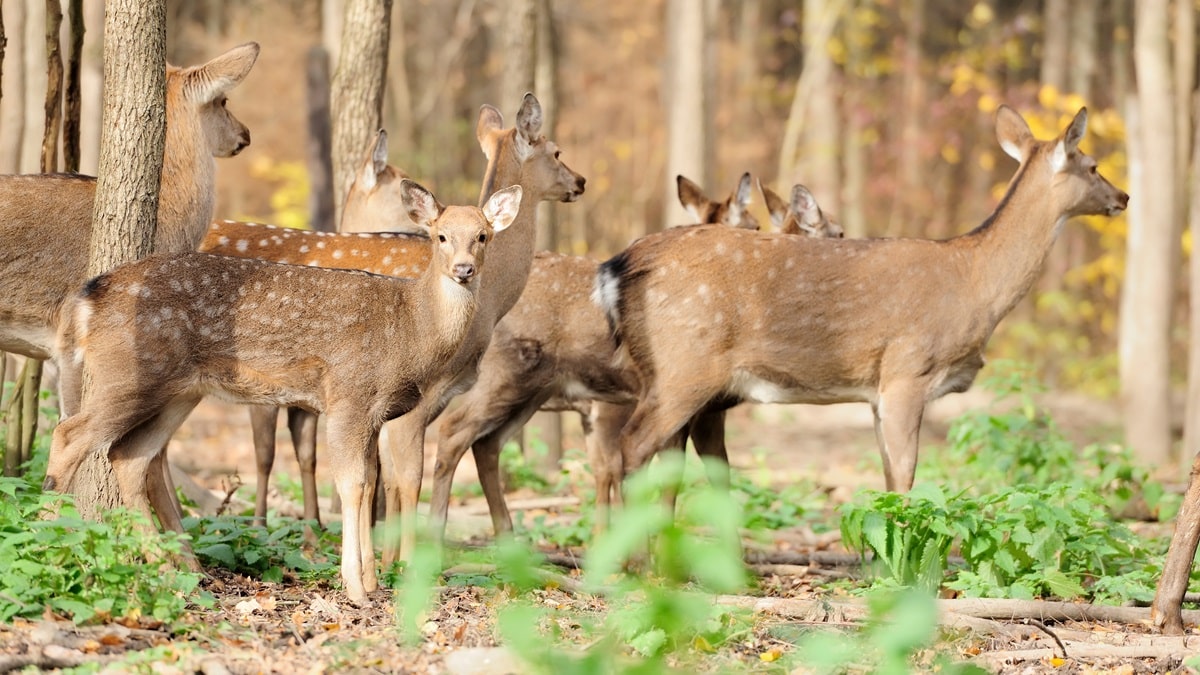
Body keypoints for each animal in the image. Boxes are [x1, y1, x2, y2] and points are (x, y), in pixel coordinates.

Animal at [44, 180, 523, 605]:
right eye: (440, 236)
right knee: (70, 434)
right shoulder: (347, 395)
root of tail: (90, 297)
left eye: (482, 235)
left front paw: (372, 583)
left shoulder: (373, 412)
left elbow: (369, 485)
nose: (464, 269)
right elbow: (351, 485)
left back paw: (167, 569)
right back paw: (49, 541)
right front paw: (354, 587)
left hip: (179, 391)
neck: (411, 329)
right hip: (128, 373)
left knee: (129, 454)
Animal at [432, 171, 844, 535]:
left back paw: (507, 537)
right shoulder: (668, 407)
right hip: (504, 374)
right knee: (453, 432)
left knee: (486, 443)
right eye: (837, 232)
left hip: (534, 390)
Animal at [595, 103, 1128, 494]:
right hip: (684, 366)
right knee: (630, 449)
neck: (975, 284)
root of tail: (620, 265)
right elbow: (906, 479)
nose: (1123, 197)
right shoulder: (907, 370)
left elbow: (889, 478)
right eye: (1094, 165)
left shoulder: (877, 390)